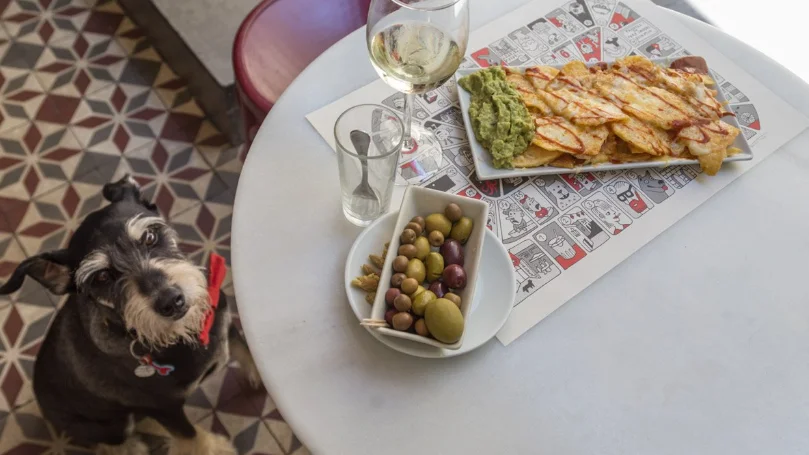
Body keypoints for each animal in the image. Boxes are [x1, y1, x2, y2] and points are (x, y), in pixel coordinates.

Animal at [0, 175, 258, 455]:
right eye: (102, 276)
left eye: (150, 236)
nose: (171, 301)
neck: (179, 337)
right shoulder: (165, 409)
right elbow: (190, 436)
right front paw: (214, 448)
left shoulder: (225, 323)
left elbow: (245, 349)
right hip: (111, 425)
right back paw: (134, 446)